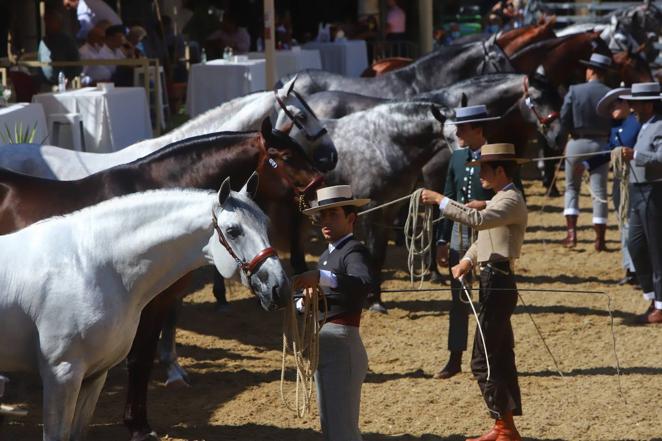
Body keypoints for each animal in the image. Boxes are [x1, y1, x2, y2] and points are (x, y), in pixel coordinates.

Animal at [0, 118, 324, 438]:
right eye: (286, 157)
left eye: (266, 225)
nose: (279, 288)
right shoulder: (150, 305)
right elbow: (140, 359)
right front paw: (139, 424)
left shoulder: (164, 297)